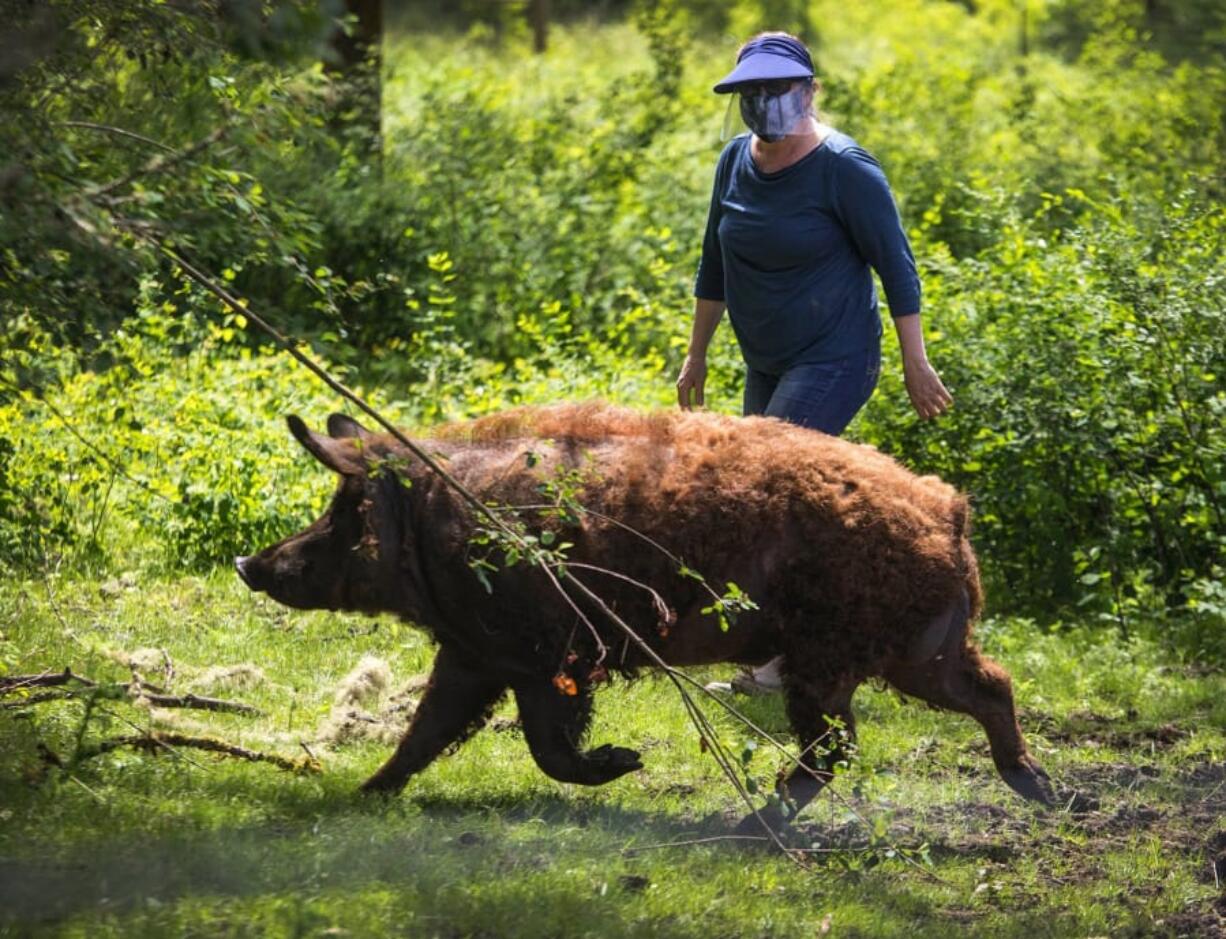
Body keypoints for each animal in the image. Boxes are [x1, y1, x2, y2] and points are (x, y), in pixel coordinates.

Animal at [236, 404, 1054, 833]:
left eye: (345, 510)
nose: (250, 563)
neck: (436, 526)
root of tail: (950, 512)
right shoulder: (479, 652)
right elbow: (426, 731)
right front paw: (362, 794)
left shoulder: (543, 650)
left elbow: (545, 745)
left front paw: (627, 763)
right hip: (921, 649)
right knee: (992, 686)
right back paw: (1040, 788)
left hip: (831, 654)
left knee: (836, 746)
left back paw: (748, 825)